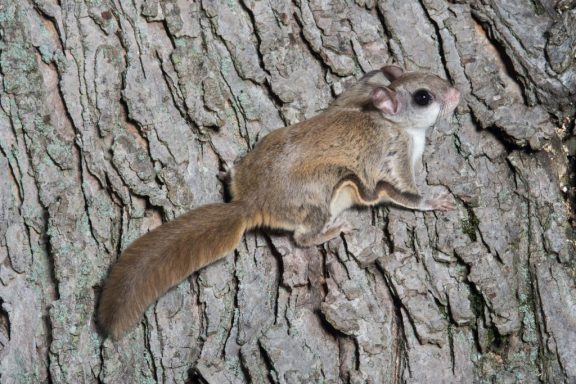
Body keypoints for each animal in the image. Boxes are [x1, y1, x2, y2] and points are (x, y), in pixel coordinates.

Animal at [98, 65, 460, 340]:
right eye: (423, 97)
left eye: (429, 73)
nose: (457, 93)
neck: (393, 123)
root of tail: (251, 202)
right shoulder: (393, 159)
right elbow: (405, 194)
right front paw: (435, 201)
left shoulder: (354, 99)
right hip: (321, 194)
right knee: (302, 237)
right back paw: (331, 229)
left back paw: (228, 168)